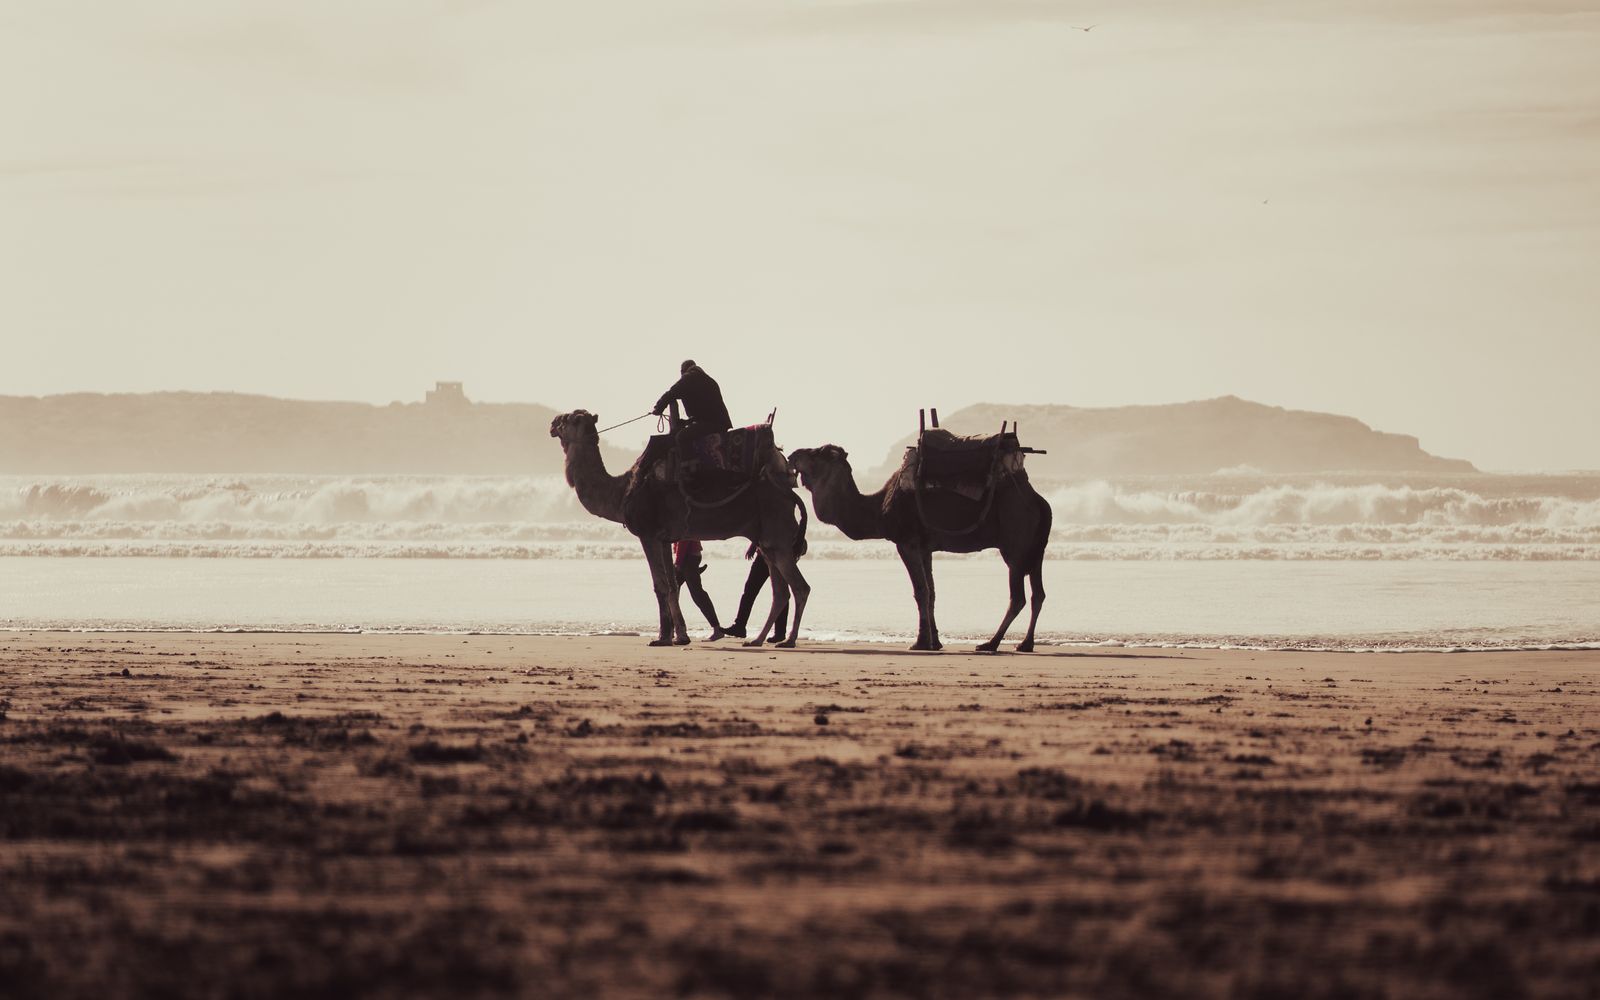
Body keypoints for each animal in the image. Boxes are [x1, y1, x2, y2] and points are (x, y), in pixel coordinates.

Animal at [549, 410, 810, 647]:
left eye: (569, 419)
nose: (552, 423)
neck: (622, 492)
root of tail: (788, 492)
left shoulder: (648, 533)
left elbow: (660, 585)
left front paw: (662, 638)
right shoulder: (666, 538)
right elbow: (673, 584)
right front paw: (680, 636)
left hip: (778, 535)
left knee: (800, 587)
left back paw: (788, 641)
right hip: (767, 541)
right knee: (781, 591)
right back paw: (757, 640)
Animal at [788, 443, 1051, 652]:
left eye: (817, 452)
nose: (792, 454)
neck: (879, 510)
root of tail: (1039, 501)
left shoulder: (907, 542)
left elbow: (920, 590)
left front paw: (921, 642)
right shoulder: (926, 548)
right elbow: (932, 591)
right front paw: (936, 642)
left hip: (1014, 544)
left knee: (1018, 597)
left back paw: (991, 643)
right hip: (1036, 547)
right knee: (1038, 593)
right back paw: (1025, 644)